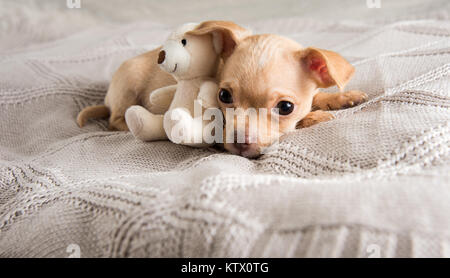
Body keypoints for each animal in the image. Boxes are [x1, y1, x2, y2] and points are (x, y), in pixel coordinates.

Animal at [185, 27, 366, 159]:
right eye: (224, 95)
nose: (239, 140)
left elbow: (317, 96)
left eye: (285, 107)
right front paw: (315, 116)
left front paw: (343, 96)